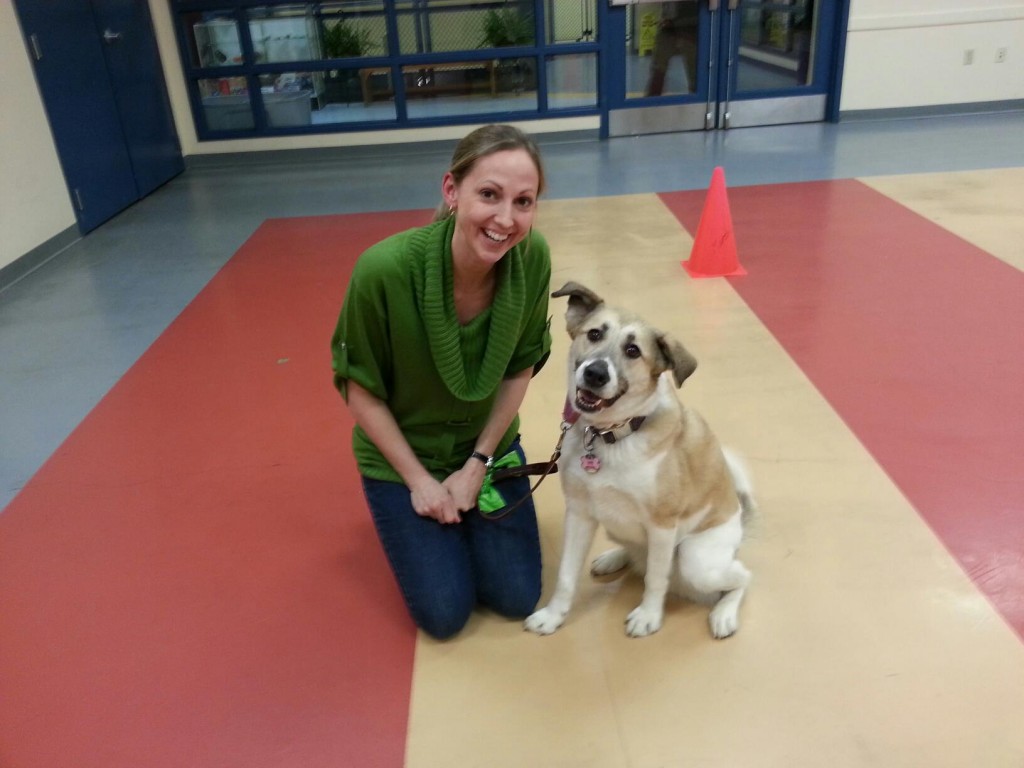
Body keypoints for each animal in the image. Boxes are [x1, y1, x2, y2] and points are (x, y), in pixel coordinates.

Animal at [524, 284, 757, 643]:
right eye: (594, 333)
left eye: (633, 351)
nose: (595, 373)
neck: (609, 435)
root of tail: (739, 519)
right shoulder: (579, 513)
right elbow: (566, 575)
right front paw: (553, 616)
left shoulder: (662, 526)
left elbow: (655, 580)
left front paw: (648, 616)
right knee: (637, 553)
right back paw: (613, 558)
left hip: (696, 561)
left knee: (742, 576)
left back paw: (724, 614)